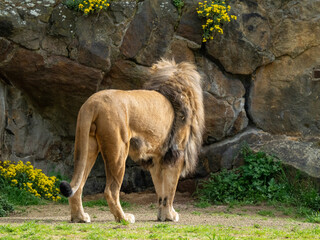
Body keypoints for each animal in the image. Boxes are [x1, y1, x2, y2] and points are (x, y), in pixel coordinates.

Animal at [60, 58, 205, 223]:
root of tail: (92, 103)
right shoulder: (175, 155)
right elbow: (170, 190)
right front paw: (170, 216)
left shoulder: (156, 158)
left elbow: (161, 191)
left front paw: (162, 216)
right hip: (119, 150)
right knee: (111, 191)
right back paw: (123, 218)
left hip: (88, 145)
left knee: (77, 186)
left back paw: (80, 217)